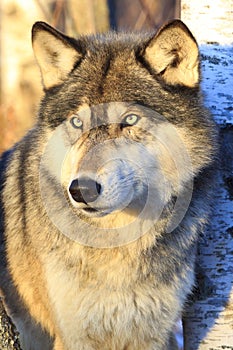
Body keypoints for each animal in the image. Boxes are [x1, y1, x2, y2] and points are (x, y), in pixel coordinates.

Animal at [0, 19, 218, 350]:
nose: (81, 189)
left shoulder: (153, 335)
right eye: (77, 123)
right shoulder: (72, 336)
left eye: (129, 120)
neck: (118, 243)